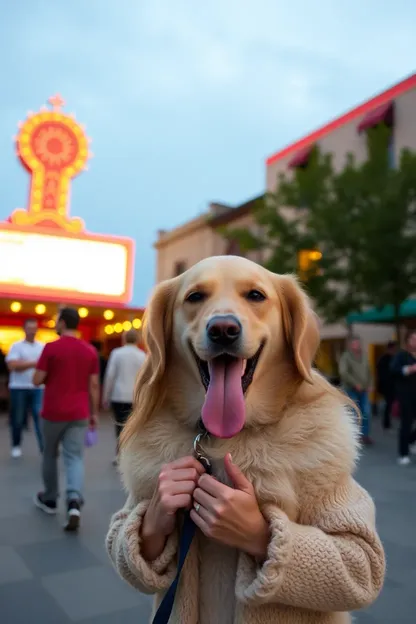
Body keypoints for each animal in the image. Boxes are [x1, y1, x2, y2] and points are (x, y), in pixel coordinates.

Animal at [106, 255, 384, 624]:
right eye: (195, 297)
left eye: (255, 295)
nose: (223, 329)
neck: (224, 439)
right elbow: (123, 529)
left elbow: (358, 555)